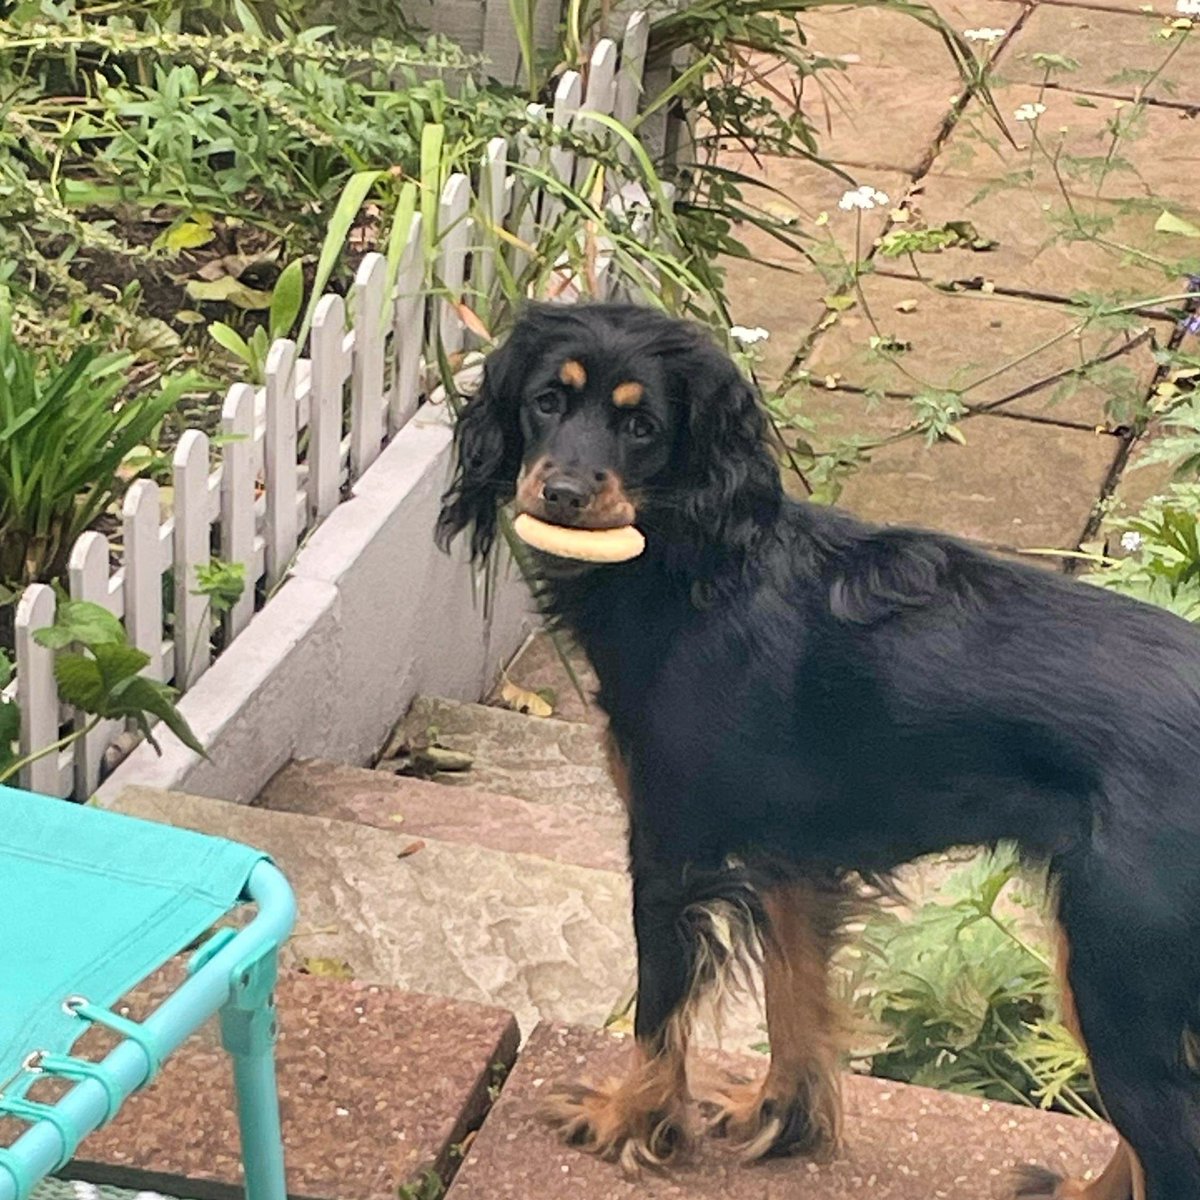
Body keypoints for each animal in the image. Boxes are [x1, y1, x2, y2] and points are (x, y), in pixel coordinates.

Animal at [436, 302, 1200, 1200]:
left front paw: (629, 1120)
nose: (560, 493)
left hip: (1116, 976)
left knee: (1170, 1145)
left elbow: (659, 1012)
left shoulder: (669, 852)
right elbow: (791, 1000)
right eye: (547, 402)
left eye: (643, 426)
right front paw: (780, 1118)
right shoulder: (790, 861)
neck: (703, 563)